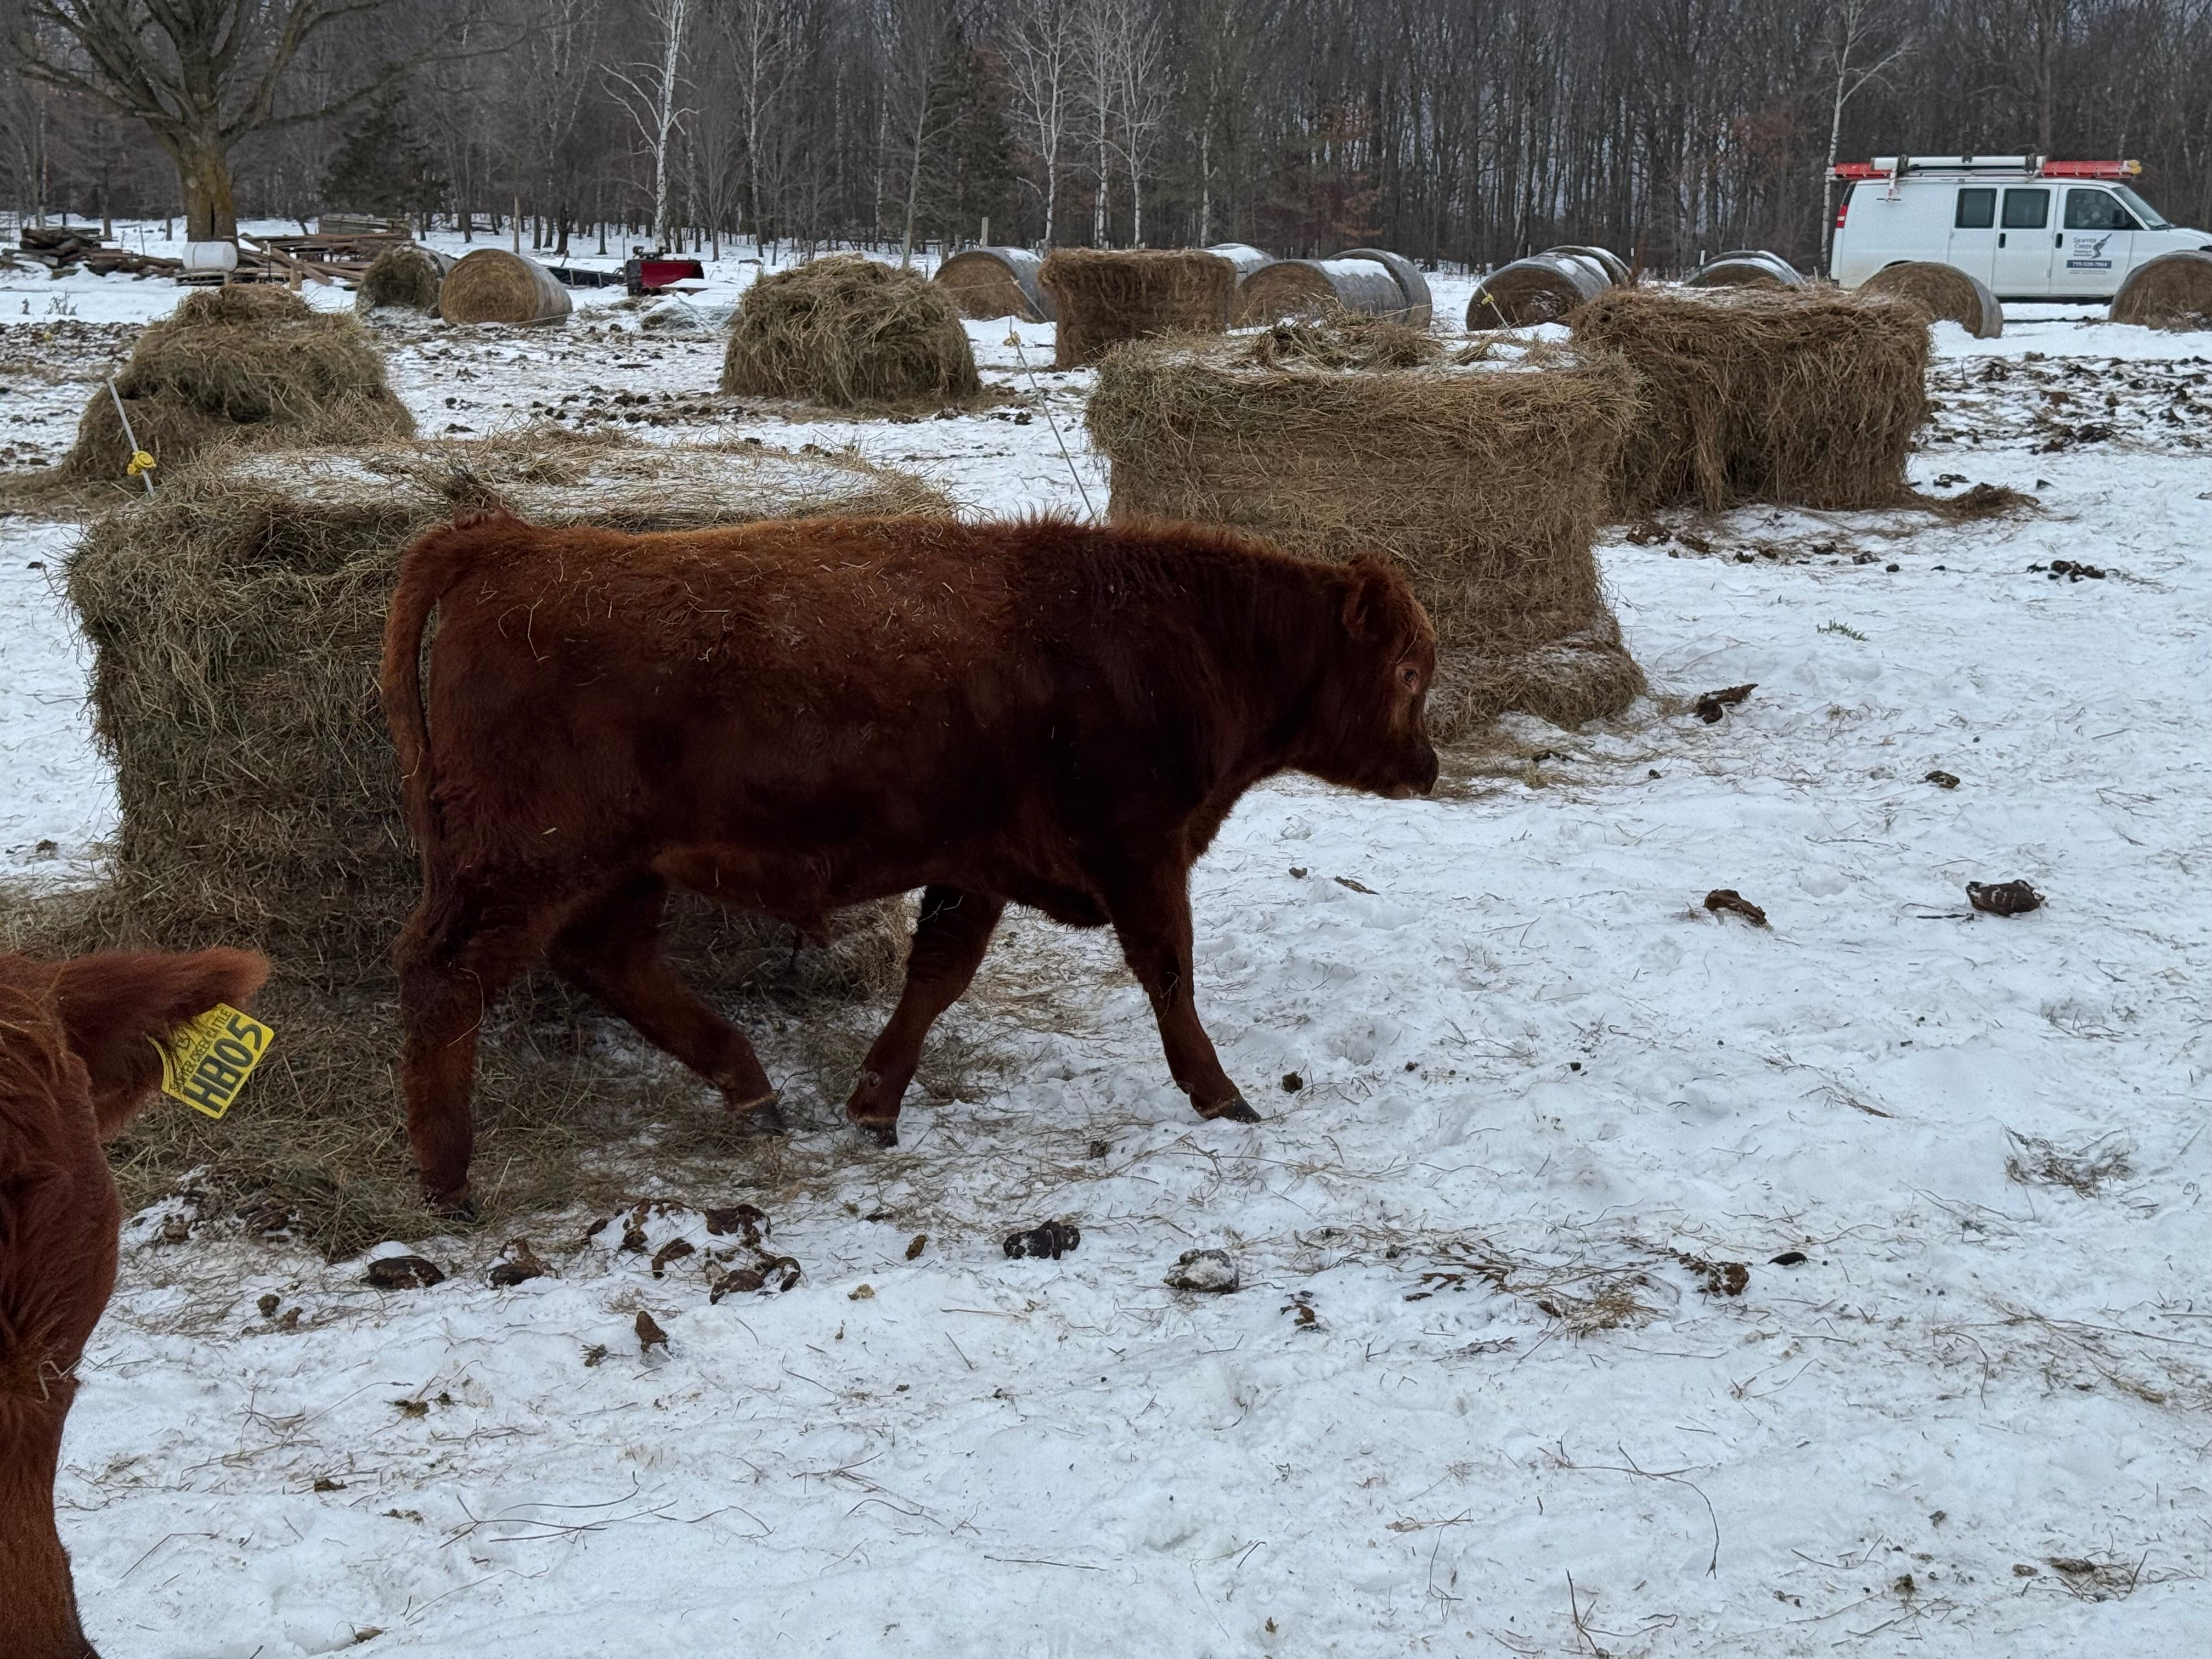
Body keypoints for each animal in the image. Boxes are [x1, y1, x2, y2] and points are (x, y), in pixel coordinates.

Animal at [381, 513, 1438, 1210]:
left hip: (615, 869)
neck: (1174, 639)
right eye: (1407, 670)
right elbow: (1169, 973)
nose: (1427, 766)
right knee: (445, 977)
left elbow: (936, 976)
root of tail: (509, 543)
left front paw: (873, 1103)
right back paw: (446, 1178)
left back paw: (751, 1088)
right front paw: (1221, 1093)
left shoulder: (976, 866)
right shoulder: (1141, 855)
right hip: (524, 864)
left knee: (609, 961)